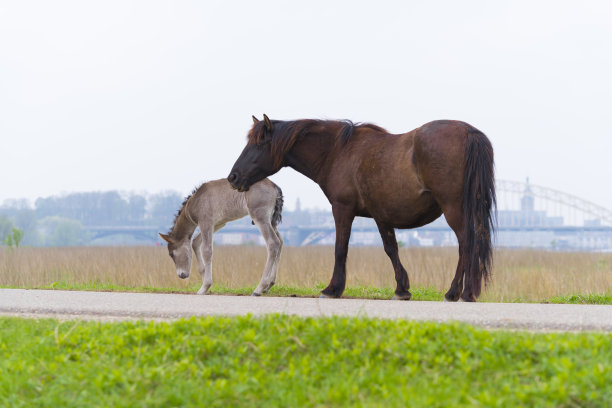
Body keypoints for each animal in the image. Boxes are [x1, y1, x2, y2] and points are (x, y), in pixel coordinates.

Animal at [227, 114, 494, 300]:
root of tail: (469, 133)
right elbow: (391, 249)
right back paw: (463, 292)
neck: (337, 152)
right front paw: (402, 288)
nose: (233, 177)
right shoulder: (382, 215)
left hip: (454, 209)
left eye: (258, 144)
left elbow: (340, 249)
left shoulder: (342, 209)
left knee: (466, 244)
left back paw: (458, 292)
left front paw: (332, 289)